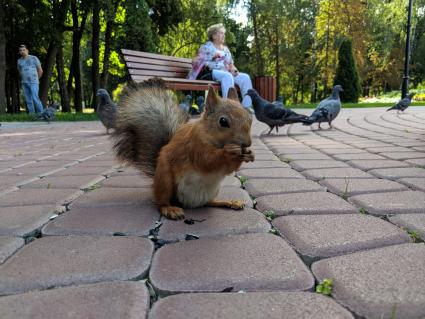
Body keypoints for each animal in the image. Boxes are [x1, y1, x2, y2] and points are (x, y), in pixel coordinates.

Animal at [111, 79, 253, 221]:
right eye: (223, 121)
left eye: (249, 118)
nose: (247, 143)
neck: (211, 136)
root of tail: (191, 203)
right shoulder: (194, 144)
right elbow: (207, 161)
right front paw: (229, 151)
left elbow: (228, 168)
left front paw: (249, 155)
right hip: (165, 180)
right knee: (161, 203)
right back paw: (170, 209)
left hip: (212, 191)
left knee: (209, 202)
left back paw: (229, 202)